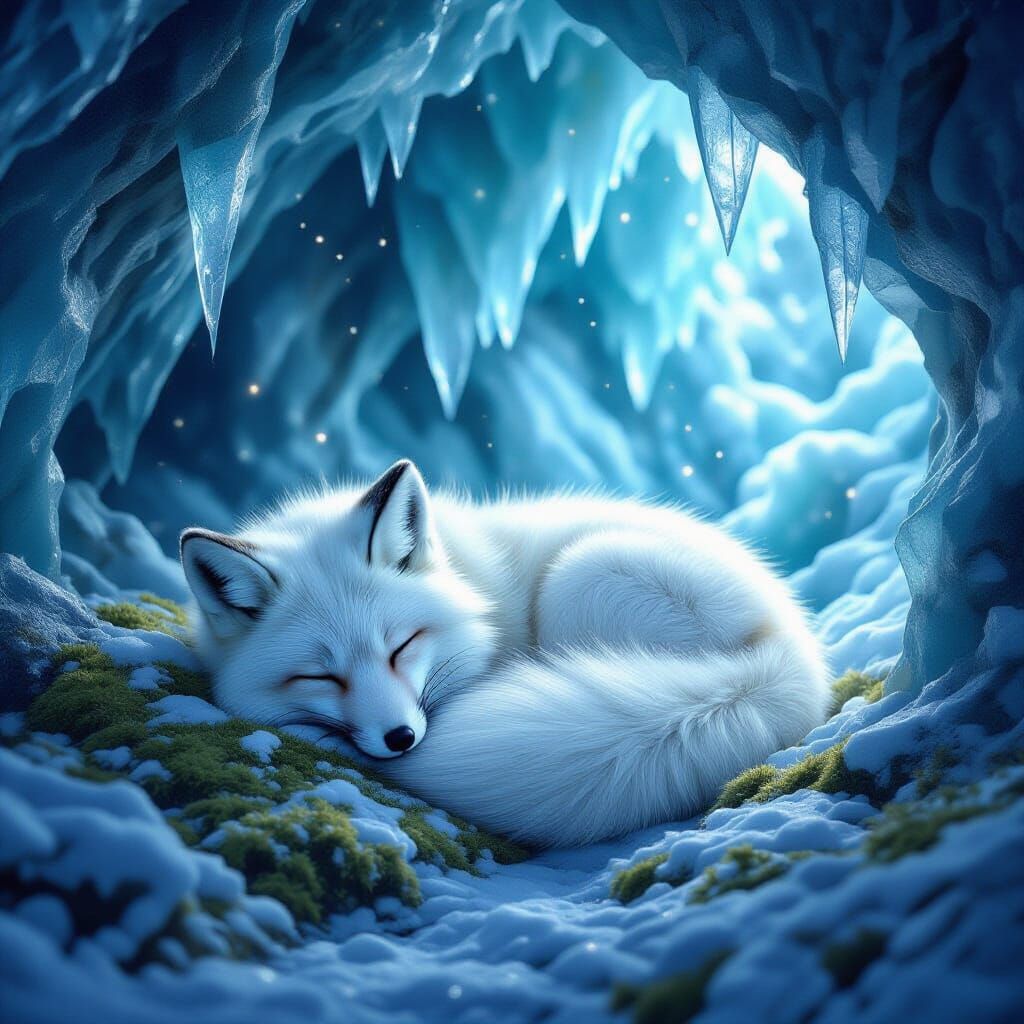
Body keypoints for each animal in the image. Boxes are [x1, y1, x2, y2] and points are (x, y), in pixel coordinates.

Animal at [180, 459, 829, 848]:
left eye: (401, 647)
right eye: (321, 676)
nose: (400, 739)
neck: (474, 586)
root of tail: (787, 657)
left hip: (577, 576)